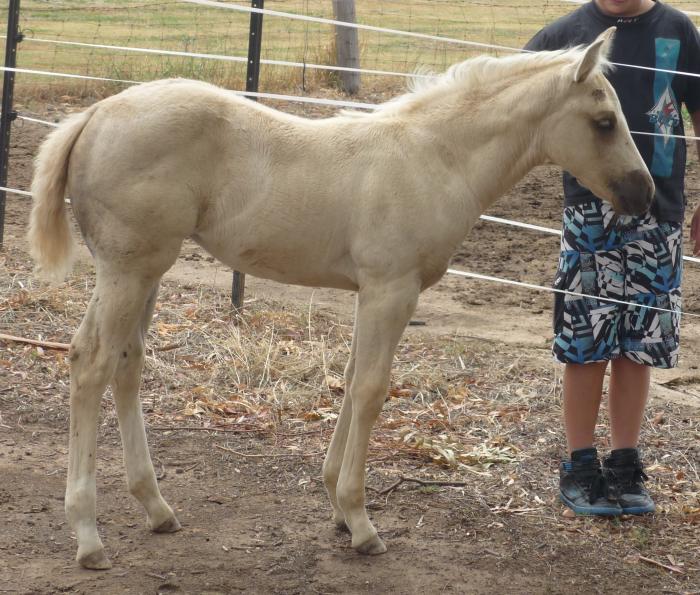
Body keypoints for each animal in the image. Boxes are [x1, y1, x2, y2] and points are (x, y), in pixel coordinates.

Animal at [28, 27, 652, 569]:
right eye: (603, 122)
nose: (644, 193)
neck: (434, 157)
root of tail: (94, 115)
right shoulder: (391, 291)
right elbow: (373, 389)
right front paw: (362, 521)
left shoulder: (367, 293)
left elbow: (351, 380)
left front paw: (336, 506)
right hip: (127, 270)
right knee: (91, 362)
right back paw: (88, 536)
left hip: (146, 270)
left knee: (124, 363)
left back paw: (156, 508)